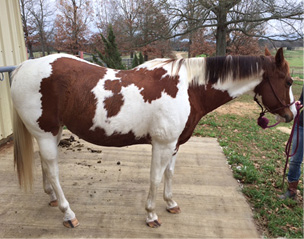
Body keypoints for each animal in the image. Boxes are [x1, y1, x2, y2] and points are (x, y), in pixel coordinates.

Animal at [10, 48, 296, 228]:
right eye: (289, 81)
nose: (292, 114)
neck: (188, 89)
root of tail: (24, 66)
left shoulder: (174, 145)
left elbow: (169, 174)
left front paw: (170, 203)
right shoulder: (162, 144)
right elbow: (155, 178)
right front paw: (151, 215)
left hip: (54, 131)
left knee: (46, 167)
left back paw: (52, 198)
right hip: (45, 133)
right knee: (53, 170)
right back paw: (68, 213)